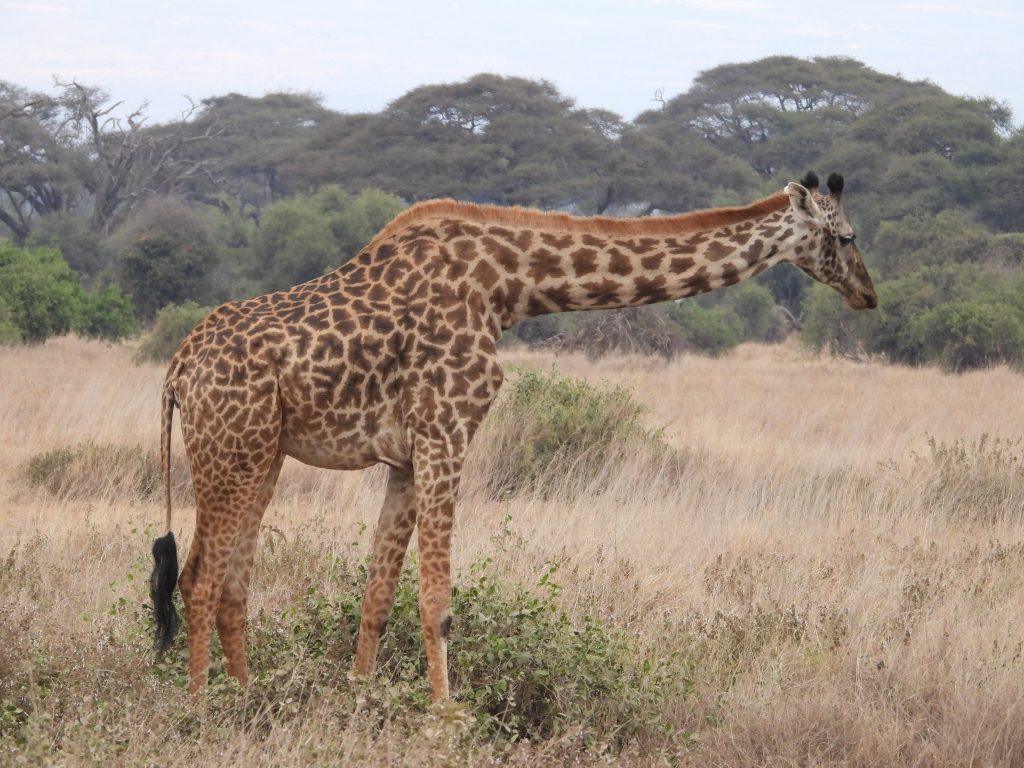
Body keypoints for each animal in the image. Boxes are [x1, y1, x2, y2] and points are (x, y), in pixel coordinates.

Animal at [150, 170, 876, 702]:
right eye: (844, 236)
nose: (869, 295)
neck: (508, 287)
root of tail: (178, 367)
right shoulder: (446, 431)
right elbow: (436, 601)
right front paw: (445, 721)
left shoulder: (406, 455)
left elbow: (378, 596)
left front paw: (358, 703)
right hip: (231, 450)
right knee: (199, 580)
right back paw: (204, 713)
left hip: (260, 454)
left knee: (232, 583)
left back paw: (247, 700)